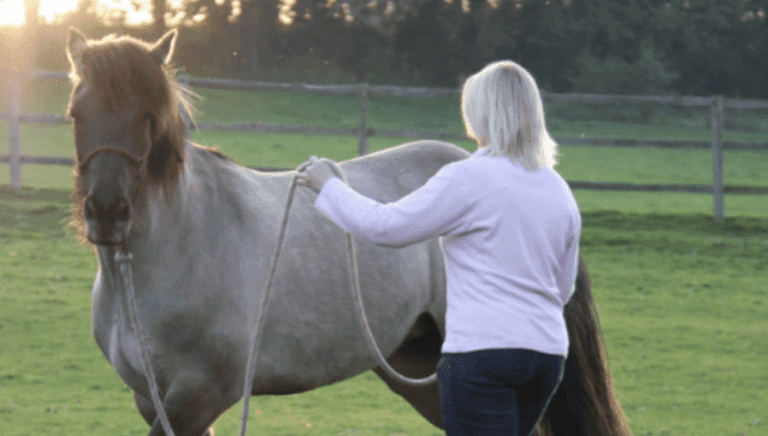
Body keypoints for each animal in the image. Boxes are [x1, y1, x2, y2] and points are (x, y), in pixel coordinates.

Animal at [65, 28, 632, 436]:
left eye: (148, 115)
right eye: (75, 113)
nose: (108, 213)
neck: (173, 250)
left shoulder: (196, 399)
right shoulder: (152, 398)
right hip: (421, 364)